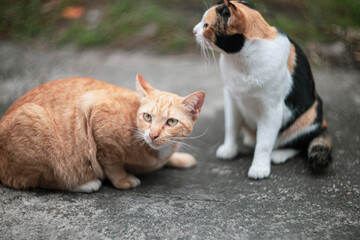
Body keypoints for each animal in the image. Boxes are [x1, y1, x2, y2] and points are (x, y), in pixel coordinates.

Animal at [0, 74, 205, 192]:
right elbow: (111, 163)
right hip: (35, 120)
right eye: (147, 117)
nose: (153, 135)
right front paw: (122, 179)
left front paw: (179, 158)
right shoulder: (97, 119)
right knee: (39, 179)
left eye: (171, 122)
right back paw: (84, 184)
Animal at [194, 0, 332, 179]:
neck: (240, 60)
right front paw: (229, 150)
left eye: (206, 25)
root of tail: (323, 125)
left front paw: (259, 168)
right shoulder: (231, 98)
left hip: (312, 113)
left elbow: (264, 143)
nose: (193, 30)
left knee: (300, 142)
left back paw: (279, 154)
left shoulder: (271, 110)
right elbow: (231, 127)